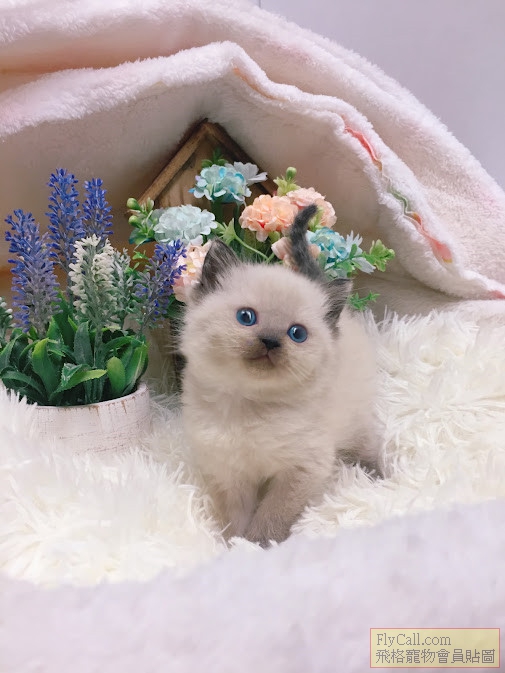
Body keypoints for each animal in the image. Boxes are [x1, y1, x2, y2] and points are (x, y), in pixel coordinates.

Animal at [180, 204, 379, 546]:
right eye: (246, 317)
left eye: (297, 334)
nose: (270, 342)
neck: (249, 406)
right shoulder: (229, 471)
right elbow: (235, 518)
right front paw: (234, 545)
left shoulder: (301, 469)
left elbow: (271, 517)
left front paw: (258, 546)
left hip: (356, 420)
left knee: (369, 448)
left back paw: (381, 477)